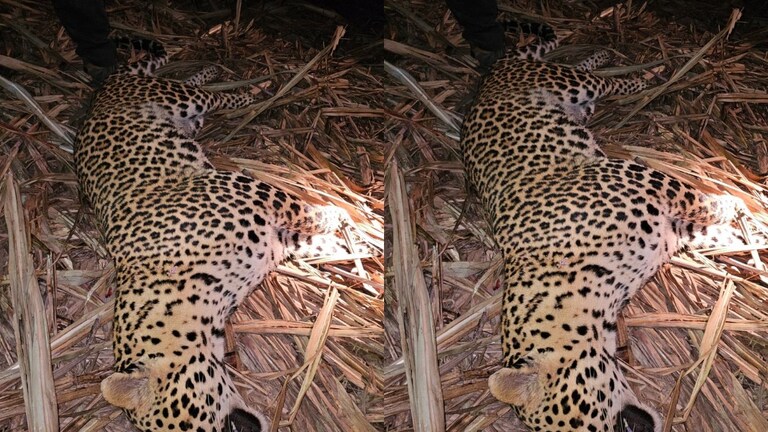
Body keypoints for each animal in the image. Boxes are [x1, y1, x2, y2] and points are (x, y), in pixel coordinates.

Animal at [74, 39, 362, 432]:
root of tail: (98, 96)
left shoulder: (252, 191)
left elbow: (305, 212)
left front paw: (342, 217)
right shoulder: (275, 239)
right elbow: (310, 240)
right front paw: (349, 245)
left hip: (175, 97)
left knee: (208, 95)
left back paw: (251, 89)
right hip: (184, 114)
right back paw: (215, 74)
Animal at [459, 21, 745, 432]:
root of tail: (488, 79)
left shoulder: (642, 178)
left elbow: (701, 201)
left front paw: (737, 205)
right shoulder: (669, 229)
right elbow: (707, 230)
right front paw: (741, 234)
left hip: (565, 82)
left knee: (603, 80)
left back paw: (647, 72)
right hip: (574, 96)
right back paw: (608, 58)